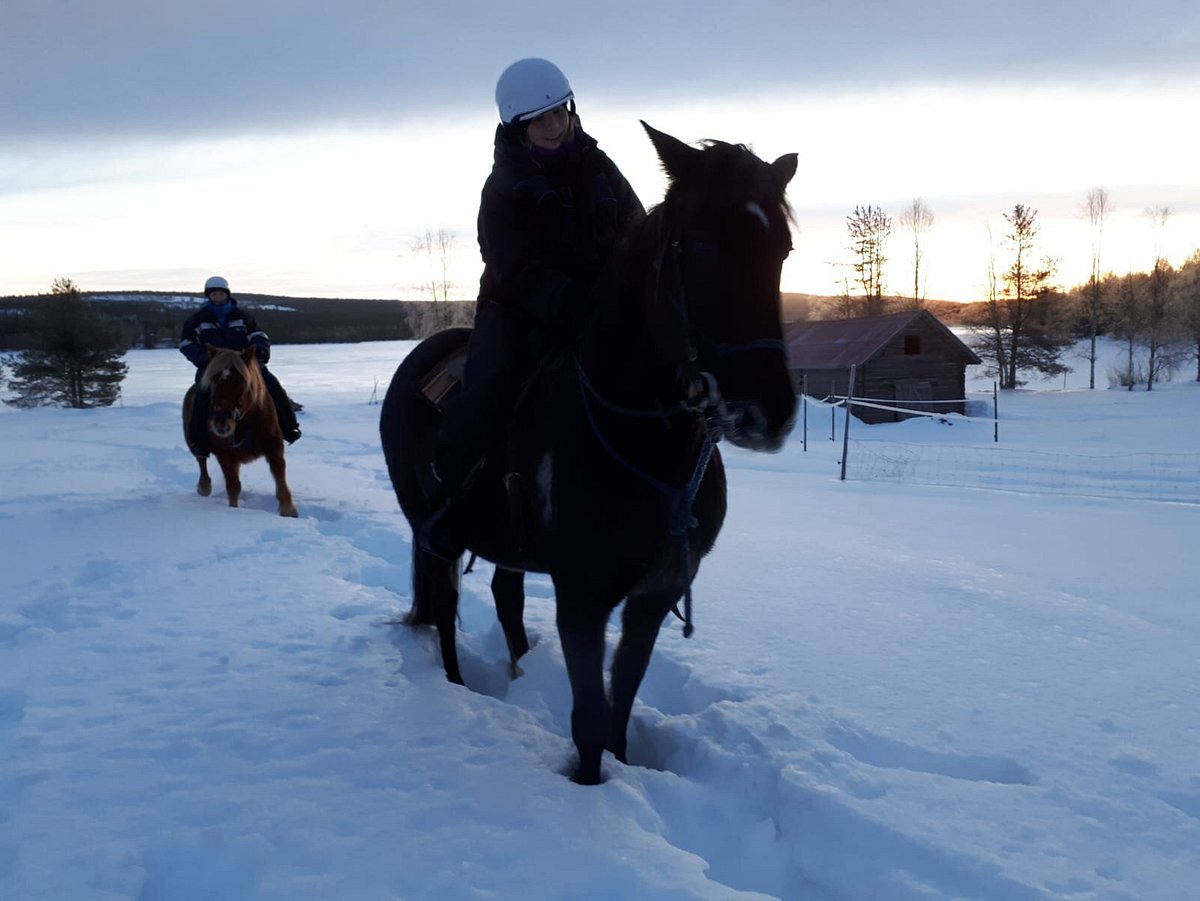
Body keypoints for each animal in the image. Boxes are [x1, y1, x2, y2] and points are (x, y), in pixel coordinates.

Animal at [182, 345, 297, 518]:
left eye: (241, 381)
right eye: (214, 379)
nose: (221, 423)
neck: (247, 422)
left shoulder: (274, 446)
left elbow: (280, 476)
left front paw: (288, 511)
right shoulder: (225, 455)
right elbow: (233, 486)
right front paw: (234, 511)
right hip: (195, 444)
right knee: (202, 462)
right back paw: (204, 487)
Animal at [384, 123, 796, 787]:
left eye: (780, 248)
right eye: (700, 248)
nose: (768, 412)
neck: (647, 450)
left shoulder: (651, 599)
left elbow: (621, 700)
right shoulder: (582, 600)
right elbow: (590, 719)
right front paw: (588, 786)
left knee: (505, 596)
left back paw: (521, 671)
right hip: (435, 532)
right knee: (444, 607)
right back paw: (455, 684)